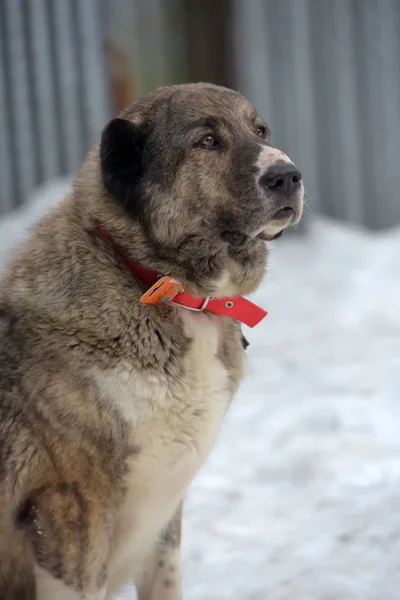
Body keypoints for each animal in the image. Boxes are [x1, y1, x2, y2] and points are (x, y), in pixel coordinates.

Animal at [0, 82, 304, 596]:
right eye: (207, 141)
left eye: (260, 131)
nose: (289, 175)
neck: (179, 296)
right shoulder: (70, 512)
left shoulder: (162, 521)